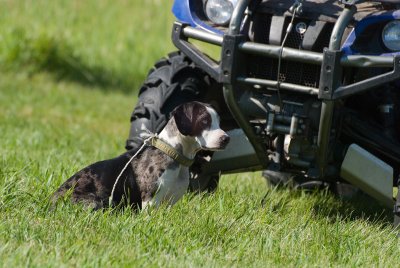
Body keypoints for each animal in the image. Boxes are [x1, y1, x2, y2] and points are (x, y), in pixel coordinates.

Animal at [51, 102, 230, 209]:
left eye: (219, 122)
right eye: (204, 121)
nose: (226, 138)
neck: (175, 156)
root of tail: (50, 201)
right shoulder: (151, 201)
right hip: (98, 201)